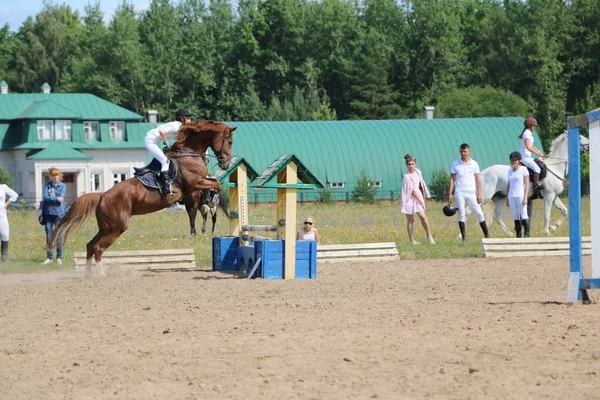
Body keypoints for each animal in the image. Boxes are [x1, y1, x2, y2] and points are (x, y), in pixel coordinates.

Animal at [50, 119, 236, 276]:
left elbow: (208, 193)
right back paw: (101, 275)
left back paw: (89, 274)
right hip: (116, 228)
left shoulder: (196, 187)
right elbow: (216, 186)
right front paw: (216, 205)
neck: (189, 153)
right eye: (229, 141)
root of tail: (102, 196)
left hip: (106, 227)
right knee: (97, 248)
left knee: (90, 245)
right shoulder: (195, 183)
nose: (225, 163)